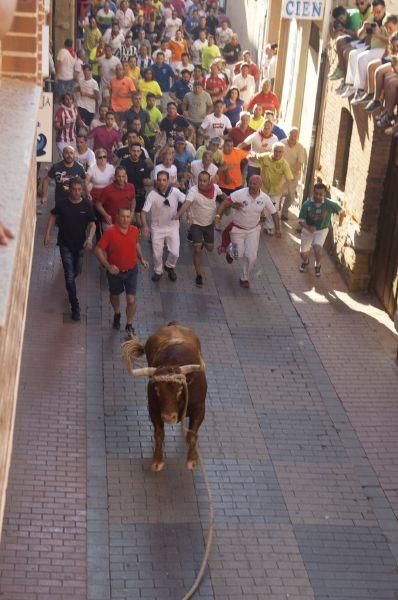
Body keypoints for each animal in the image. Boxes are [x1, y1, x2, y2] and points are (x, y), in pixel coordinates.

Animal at [123, 322, 207, 472]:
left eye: (180, 390)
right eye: (157, 390)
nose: (168, 417)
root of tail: (174, 324)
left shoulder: (200, 408)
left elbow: (192, 435)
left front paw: (192, 460)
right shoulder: (153, 409)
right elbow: (159, 434)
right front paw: (157, 461)